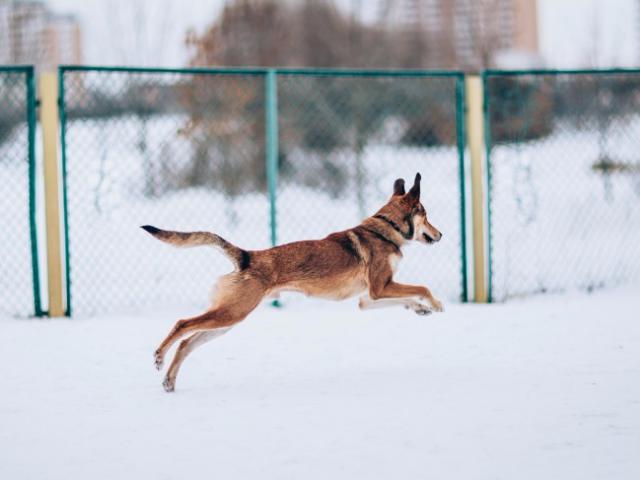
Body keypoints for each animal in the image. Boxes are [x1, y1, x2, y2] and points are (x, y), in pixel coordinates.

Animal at [142, 174, 442, 392]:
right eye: (426, 215)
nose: (441, 235)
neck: (387, 229)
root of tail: (247, 256)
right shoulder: (380, 288)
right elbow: (423, 288)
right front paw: (435, 304)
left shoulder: (368, 299)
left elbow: (406, 299)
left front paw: (421, 309)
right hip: (231, 313)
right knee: (182, 325)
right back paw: (159, 356)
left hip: (228, 320)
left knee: (186, 343)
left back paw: (169, 380)